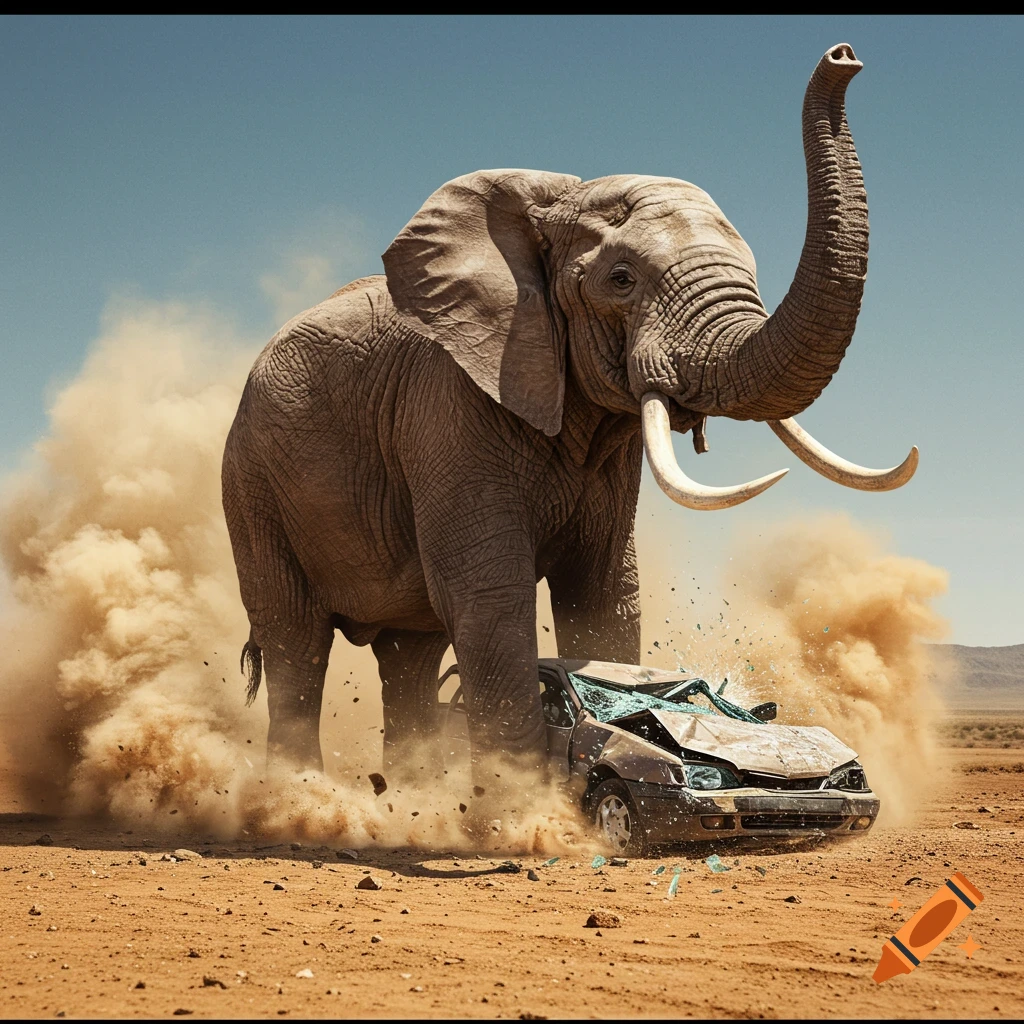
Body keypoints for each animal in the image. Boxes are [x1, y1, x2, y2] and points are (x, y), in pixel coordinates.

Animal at [221, 44, 916, 782]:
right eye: (621, 280)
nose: (843, 55)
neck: (548, 204)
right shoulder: (449, 403)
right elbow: (489, 597)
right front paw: (522, 805)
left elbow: (606, 591)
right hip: (253, 482)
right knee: (295, 638)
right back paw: (302, 795)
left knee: (410, 650)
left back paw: (409, 791)